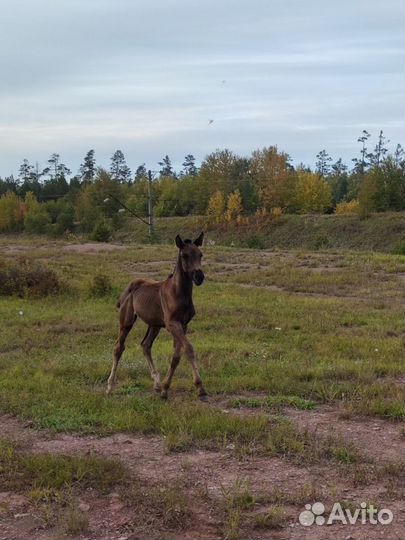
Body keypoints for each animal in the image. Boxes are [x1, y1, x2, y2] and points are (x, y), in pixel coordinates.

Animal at [105, 230, 207, 398]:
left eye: (200, 254)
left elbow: (176, 356)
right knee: (118, 347)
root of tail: (128, 287)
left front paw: (165, 389)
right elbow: (189, 349)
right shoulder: (172, 324)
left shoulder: (183, 325)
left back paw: (157, 385)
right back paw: (109, 386)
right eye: (185, 255)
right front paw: (200, 387)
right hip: (126, 321)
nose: (199, 277)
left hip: (154, 325)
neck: (178, 293)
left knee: (145, 345)